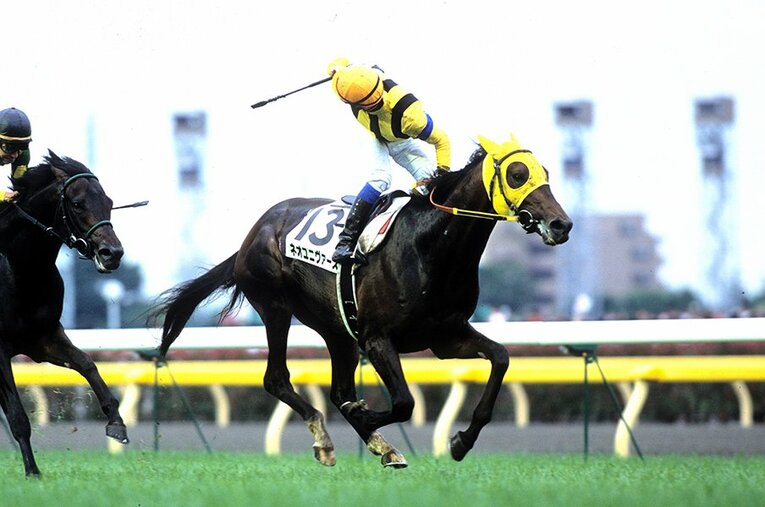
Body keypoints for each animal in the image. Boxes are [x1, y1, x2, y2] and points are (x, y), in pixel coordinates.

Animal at [0, 151, 129, 477]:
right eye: (78, 203)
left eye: (109, 201)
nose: (112, 253)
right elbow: (17, 415)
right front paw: (32, 471)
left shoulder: (43, 338)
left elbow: (87, 365)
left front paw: (116, 422)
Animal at [155, 133, 572, 467]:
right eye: (517, 174)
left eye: (546, 172)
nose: (562, 225)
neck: (431, 247)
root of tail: (252, 235)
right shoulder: (377, 338)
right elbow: (403, 403)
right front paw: (367, 420)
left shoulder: (446, 337)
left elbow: (501, 358)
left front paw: (461, 441)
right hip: (275, 307)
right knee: (277, 379)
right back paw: (331, 440)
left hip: (338, 330)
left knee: (338, 389)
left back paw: (377, 444)